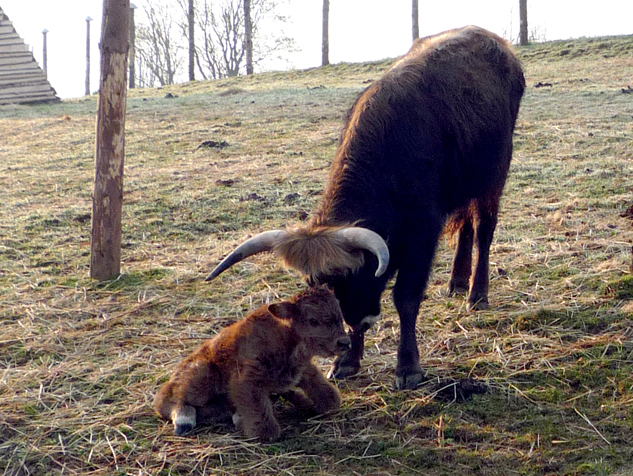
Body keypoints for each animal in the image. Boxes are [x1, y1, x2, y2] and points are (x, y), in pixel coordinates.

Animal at [153, 284, 350, 440]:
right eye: (313, 320)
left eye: (340, 316)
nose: (344, 342)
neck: (285, 337)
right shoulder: (246, 381)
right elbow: (265, 425)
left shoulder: (303, 370)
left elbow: (330, 399)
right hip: (200, 375)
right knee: (167, 398)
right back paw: (184, 421)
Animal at [206, 27, 524, 390]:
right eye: (318, 280)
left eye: (356, 272)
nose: (362, 314)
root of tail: (495, 43)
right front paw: (347, 360)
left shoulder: (422, 233)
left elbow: (406, 297)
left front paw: (408, 366)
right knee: (466, 226)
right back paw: (457, 282)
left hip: (493, 175)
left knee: (483, 228)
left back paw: (477, 294)